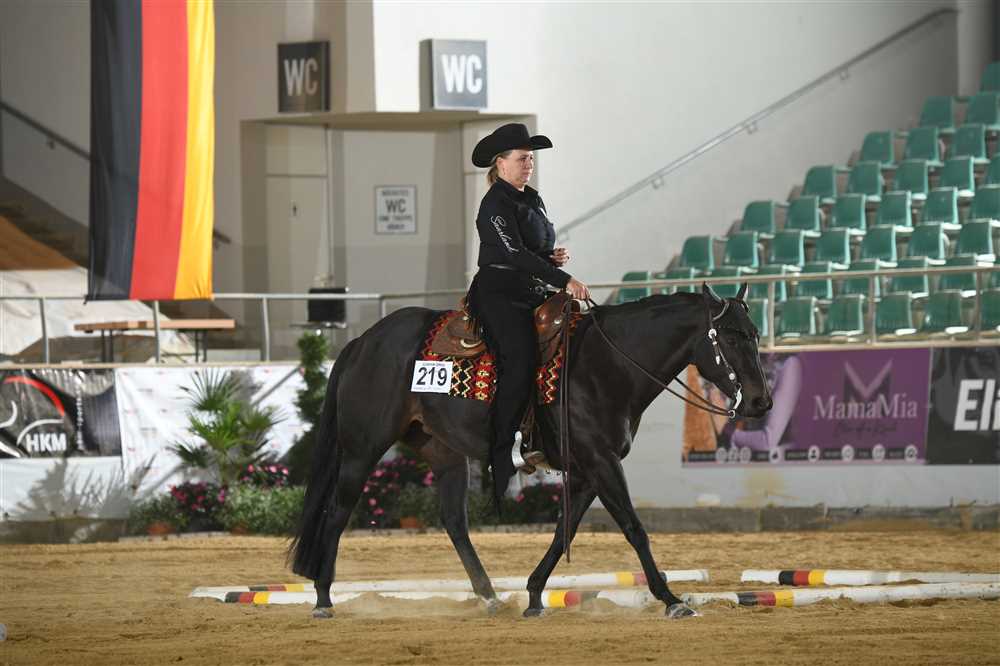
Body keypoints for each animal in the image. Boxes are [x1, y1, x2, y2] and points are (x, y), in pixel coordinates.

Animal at [289, 283, 772, 619]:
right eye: (729, 337)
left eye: (754, 333)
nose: (760, 401)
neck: (606, 365)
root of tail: (362, 342)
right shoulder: (601, 462)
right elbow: (634, 528)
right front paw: (671, 598)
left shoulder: (587, 469)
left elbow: (563, 531)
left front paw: (536, 594)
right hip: (361, 450)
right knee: (337, 513)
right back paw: (323, 598)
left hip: (445, 454)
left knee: (454, 522)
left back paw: (489, 597)